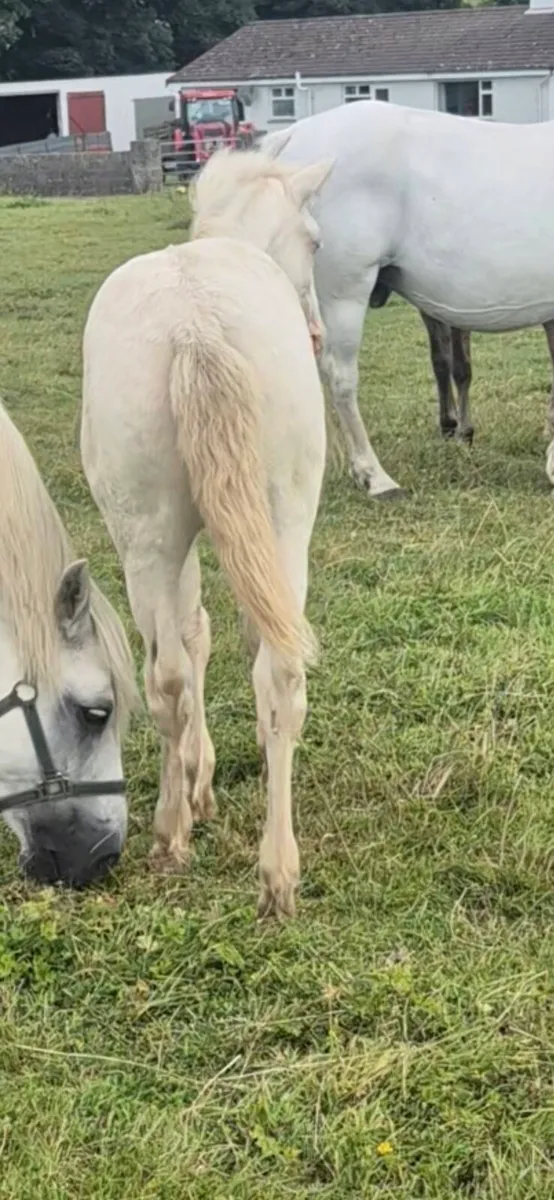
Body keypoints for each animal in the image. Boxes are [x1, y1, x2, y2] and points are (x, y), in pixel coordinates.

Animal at [80, 148, 333, 919]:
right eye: (316, 241)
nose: (318, 335)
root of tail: (195, 322)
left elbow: (193, 636)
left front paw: (198, 782)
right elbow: (215, 638)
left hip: (150, 539)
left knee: (166, 675)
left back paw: (174, 836)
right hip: (280, 520)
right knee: (276, 668)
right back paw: (275, 870)